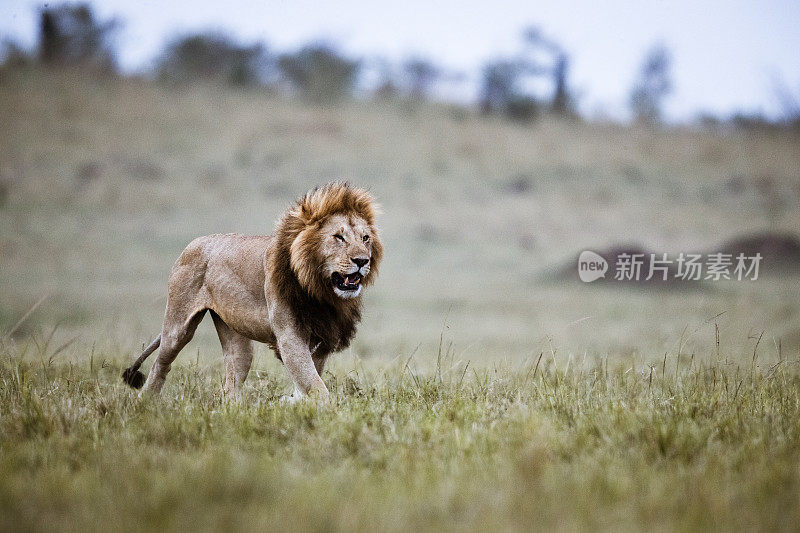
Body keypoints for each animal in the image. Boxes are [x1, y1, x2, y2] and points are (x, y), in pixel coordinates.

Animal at [120, 183, 382, 400]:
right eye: (338, 237)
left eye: (365, 238)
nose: (362, 260)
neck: (319, 289)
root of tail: (194, 242)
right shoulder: (289, 335)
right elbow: (316, 387)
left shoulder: (321, 336)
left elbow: (307, 381)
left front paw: (292, 402)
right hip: (177, 328)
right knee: (160, 365)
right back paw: (145, 403)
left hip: (235, 335)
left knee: (232, 383)